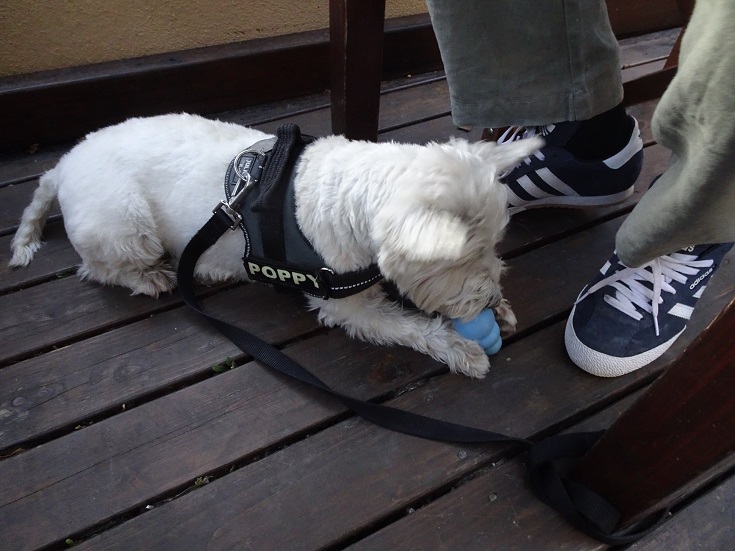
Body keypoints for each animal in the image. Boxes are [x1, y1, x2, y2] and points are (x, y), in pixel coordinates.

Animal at [8, 113, 544, 378]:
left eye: (494, 246)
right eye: (460, 258)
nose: (488, 299)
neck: (354, 201)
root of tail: (61, 167)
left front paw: (500, 311)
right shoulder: (346, 306)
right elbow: (410, 328)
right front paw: (462, 349)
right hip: (124, 223)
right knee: (100, 267)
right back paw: (153, 276)